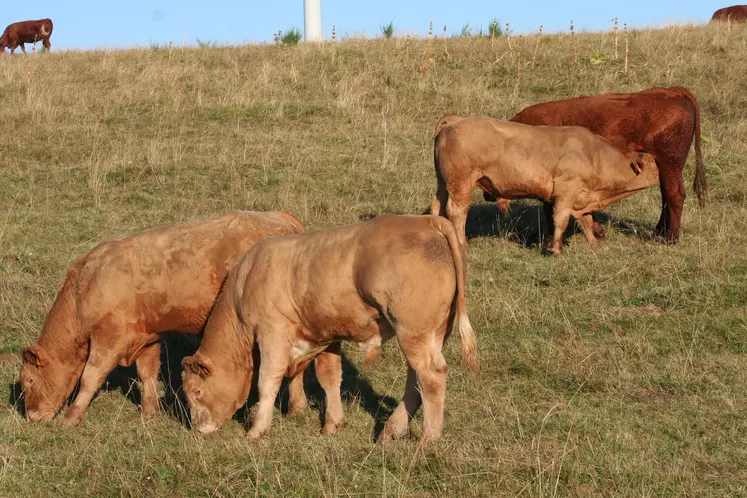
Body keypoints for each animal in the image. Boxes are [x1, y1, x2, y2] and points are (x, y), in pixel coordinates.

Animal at [18, 208, 324, 426]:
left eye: (28, 381)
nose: (32, 417)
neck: (86, 284)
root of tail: (282, 220)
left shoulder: (109, 337)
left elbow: (90, 377)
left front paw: (70, 418)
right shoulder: (146, 336)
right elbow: (147, 372)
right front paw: (149, 411)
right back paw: (295, 408)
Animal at [181, 214, 480, 444]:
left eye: (196, 392)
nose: (197, 430)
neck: (245, 282)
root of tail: (427, 220)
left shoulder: (272, 334)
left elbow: (267, 382)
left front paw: (256, 430)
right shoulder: (327, 336)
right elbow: (329, 377)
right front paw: (332, 424)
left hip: (413, 330)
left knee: (431, 375)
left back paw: (428, 438)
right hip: (430, 333)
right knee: (414, 379)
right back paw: (391, 429)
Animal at [432, 115, 660, 255]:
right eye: (655, 165)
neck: (593, 156)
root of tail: (455, 121)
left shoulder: (583, 197)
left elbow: (587, 221)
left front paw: (595, 245)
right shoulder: (565, 193)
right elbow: (561, 221)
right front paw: (557, 250)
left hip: (443, 184)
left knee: (437, 208)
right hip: (461, 184)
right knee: (457, 212)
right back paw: (462, 244)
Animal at [508, 87, 708, 243]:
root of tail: (674, 91)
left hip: (669, 163)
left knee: (675, 195)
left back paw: (669, 238)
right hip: (667, 166)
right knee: (666, 195)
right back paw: (659, 231)